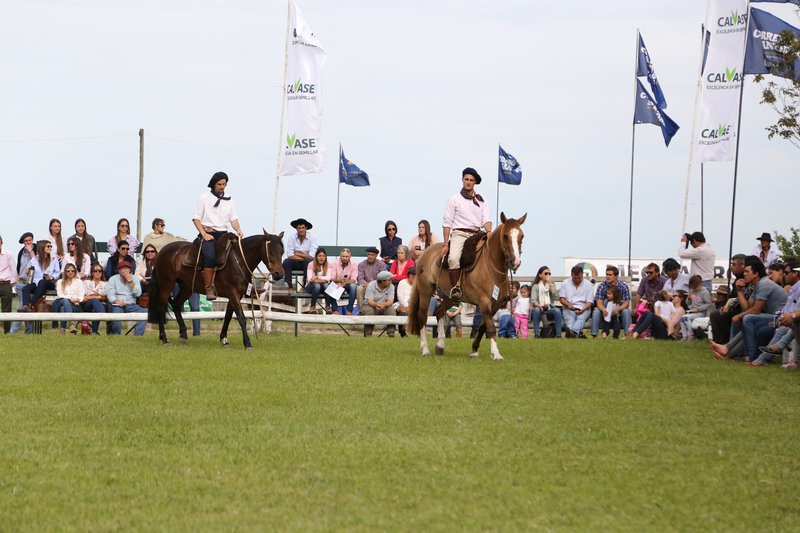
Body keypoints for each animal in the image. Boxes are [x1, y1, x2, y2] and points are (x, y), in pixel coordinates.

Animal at [147, 230, 285, 349]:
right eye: (270, 251)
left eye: (282, 251)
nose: (279, 274)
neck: (238, 261)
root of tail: (161, 252)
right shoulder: (233, 294)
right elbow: (241, 317)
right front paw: (247, 343)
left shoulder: (235, 296)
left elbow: (228, 316)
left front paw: (224, 339)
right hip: (166, 285)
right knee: (161, 308)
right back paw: (164, 339)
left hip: (186, 288)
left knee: (176, 304)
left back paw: (183, 335)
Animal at [407, 212, 526, 360]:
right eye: (505, 236)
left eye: (521, 236)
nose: (515, 261)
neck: (490, 266)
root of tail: (425, 253)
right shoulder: (484, 301)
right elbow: (491, 327)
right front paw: (496, 354)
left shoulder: (496, 304)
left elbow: (483, 327)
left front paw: (474, 350)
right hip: (425, 292)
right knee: (422, 316)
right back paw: (425, 349)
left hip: (451, 297)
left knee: (439, 312)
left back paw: (440, 345)